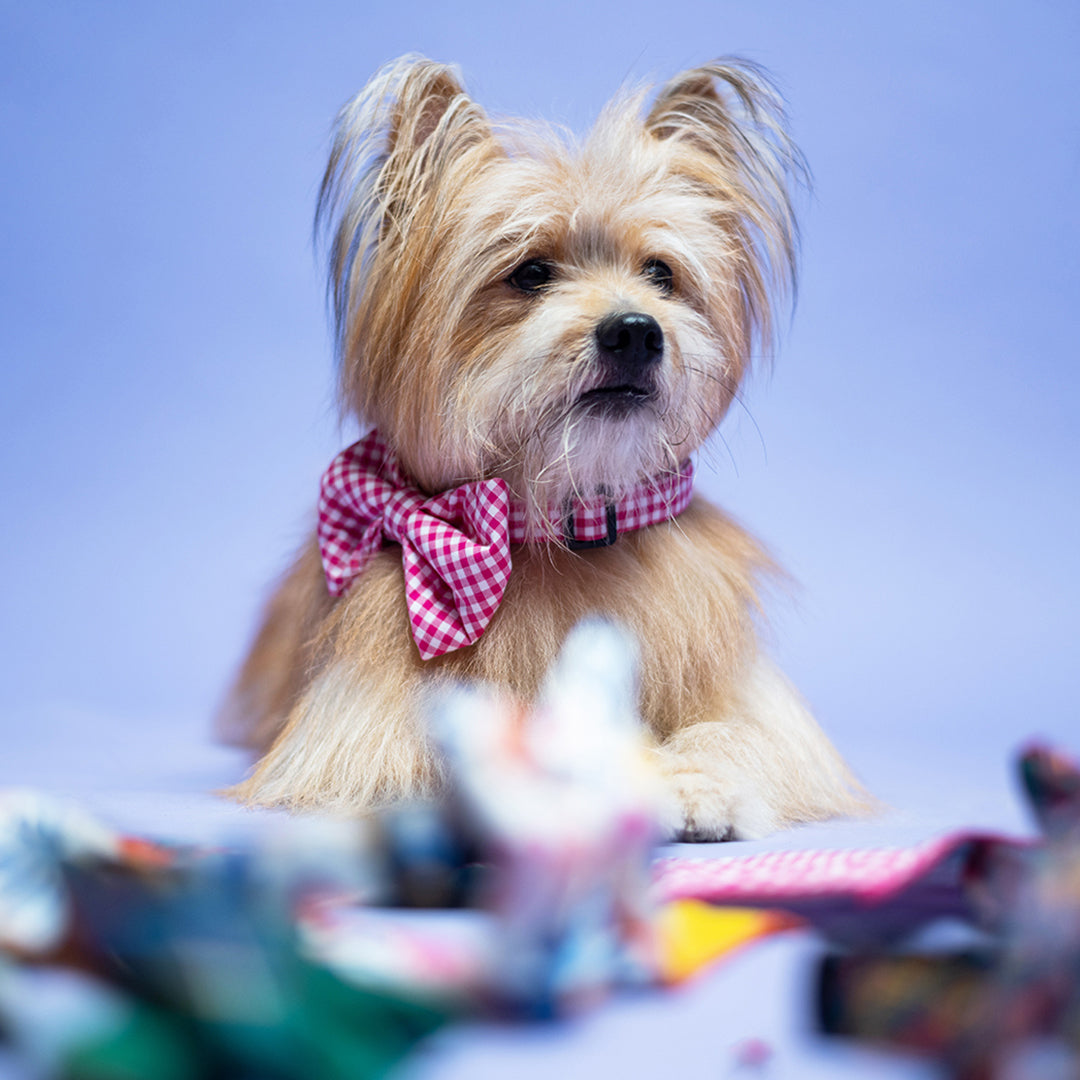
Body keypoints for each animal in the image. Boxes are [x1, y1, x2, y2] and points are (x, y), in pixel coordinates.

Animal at [223, 54, 872, 838]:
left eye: (661, 273)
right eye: (531, 273)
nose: (635, 331)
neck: (563, 525)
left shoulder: (758, 707)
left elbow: (736, 734)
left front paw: (693, 784)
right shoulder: (352, 729)